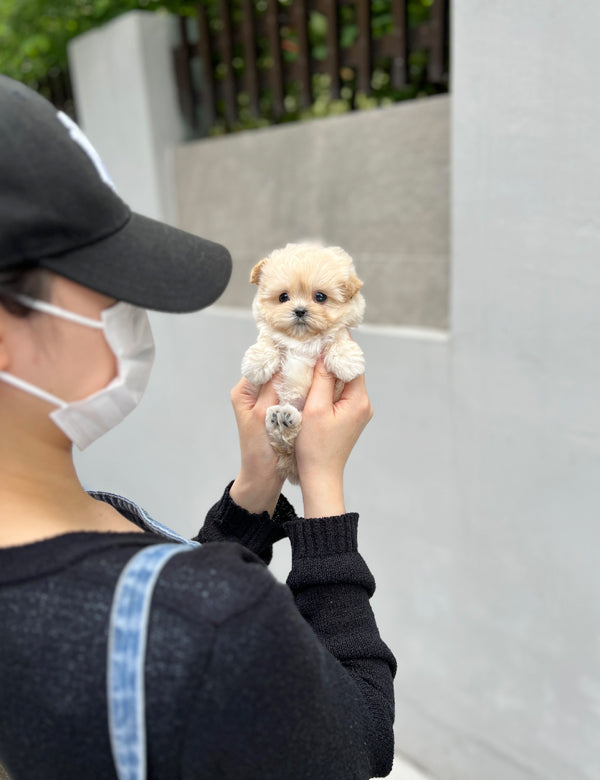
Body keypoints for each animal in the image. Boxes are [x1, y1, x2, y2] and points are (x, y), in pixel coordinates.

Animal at [240, 241, 364, 484]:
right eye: (283, 297)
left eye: (320, 297)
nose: (299, 311)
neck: (302, 340)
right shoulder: (272, 335)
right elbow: (268, 340)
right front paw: (257, 363)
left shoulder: (337, 334)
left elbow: (337, 337)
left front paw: (347, 361)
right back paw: (280, 419)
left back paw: (287, 418)